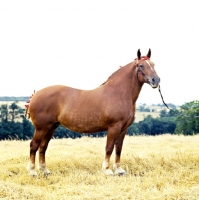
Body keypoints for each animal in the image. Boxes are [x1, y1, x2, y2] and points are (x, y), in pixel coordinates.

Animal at [26, 49, 160, 176]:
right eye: (141, 65)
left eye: (153, 64)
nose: (156, 80)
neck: (119, 92)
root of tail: (35, 95)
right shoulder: (114, 127)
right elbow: (109, 147)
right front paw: (107, 170)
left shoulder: (123, 129)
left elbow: (118, 148)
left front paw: (119, 170)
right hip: (41, 128)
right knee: (34, 145)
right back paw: (32, 172)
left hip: (51, 127)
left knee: (43, 147)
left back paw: (44, 170)